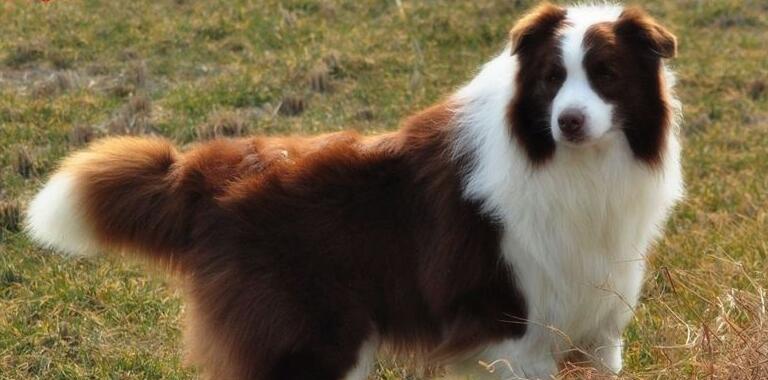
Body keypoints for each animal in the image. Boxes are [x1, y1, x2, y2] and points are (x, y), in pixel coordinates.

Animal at [25, 3, 684, 380]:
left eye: (606, 75)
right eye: (551, 79)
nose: (568, 122)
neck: (574, 167)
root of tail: (208, 172)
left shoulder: (597, 334)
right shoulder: (515, 334)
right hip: (313, 344)